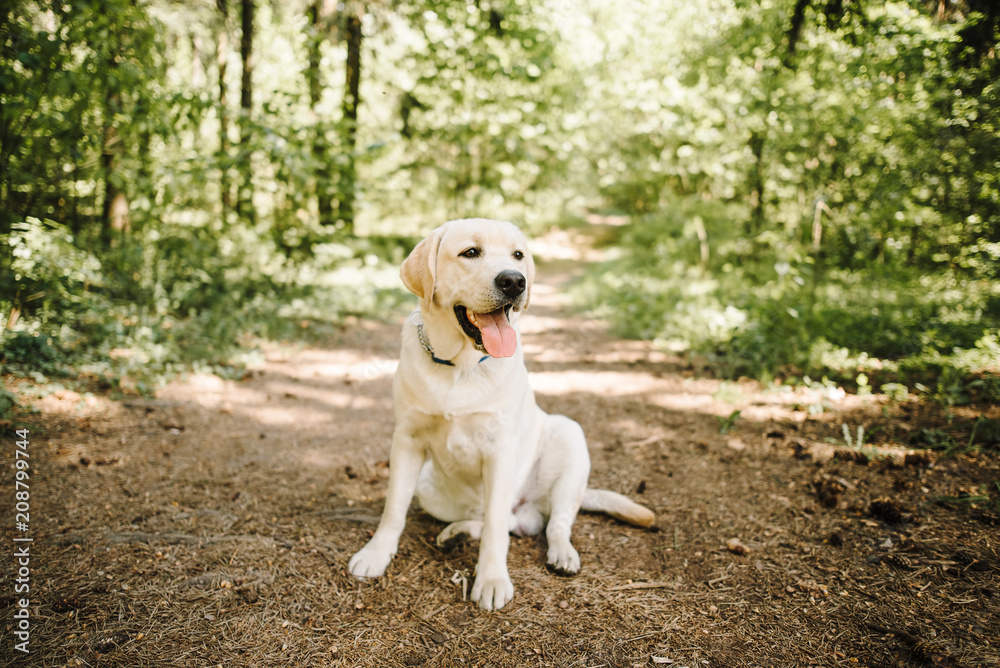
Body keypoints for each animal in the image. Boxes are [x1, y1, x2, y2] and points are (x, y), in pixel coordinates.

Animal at [352, 218, 656, 612]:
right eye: (470, 252)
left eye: (518, 255)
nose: (514, 281)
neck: (460, 366)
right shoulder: (407, 439)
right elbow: (394, 507)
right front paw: (376, 553)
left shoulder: (500, 450)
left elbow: (497, 527)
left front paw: (492, 579)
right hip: (430, 489)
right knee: (510, 522)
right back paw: (456, 533)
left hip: (569, 436)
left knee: (551, 523)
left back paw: (561, 553)